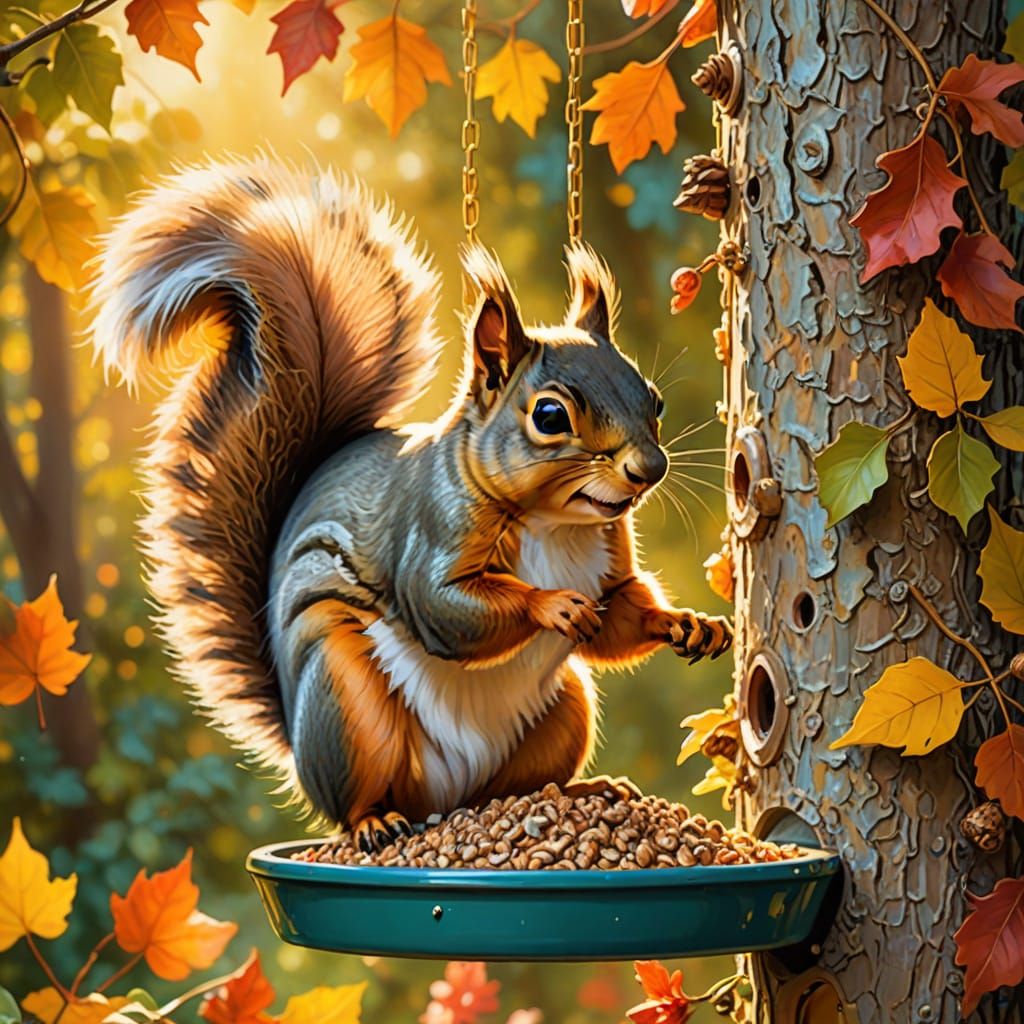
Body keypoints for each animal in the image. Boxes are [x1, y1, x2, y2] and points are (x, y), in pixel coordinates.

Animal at [90, 158, 732, 852]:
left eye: (653, 400)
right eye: (549, 416)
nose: (649, 469)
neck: (556, 523)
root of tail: (445, 798)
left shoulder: (607, 566)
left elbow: (620, 618)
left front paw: (687, 623)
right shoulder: (430, 532)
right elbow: (446, 607)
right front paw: (553, 606)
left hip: (563, 711)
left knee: (514, 789)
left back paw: (584, 791)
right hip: (345, 702)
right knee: (356, 800)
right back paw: (375, 823)